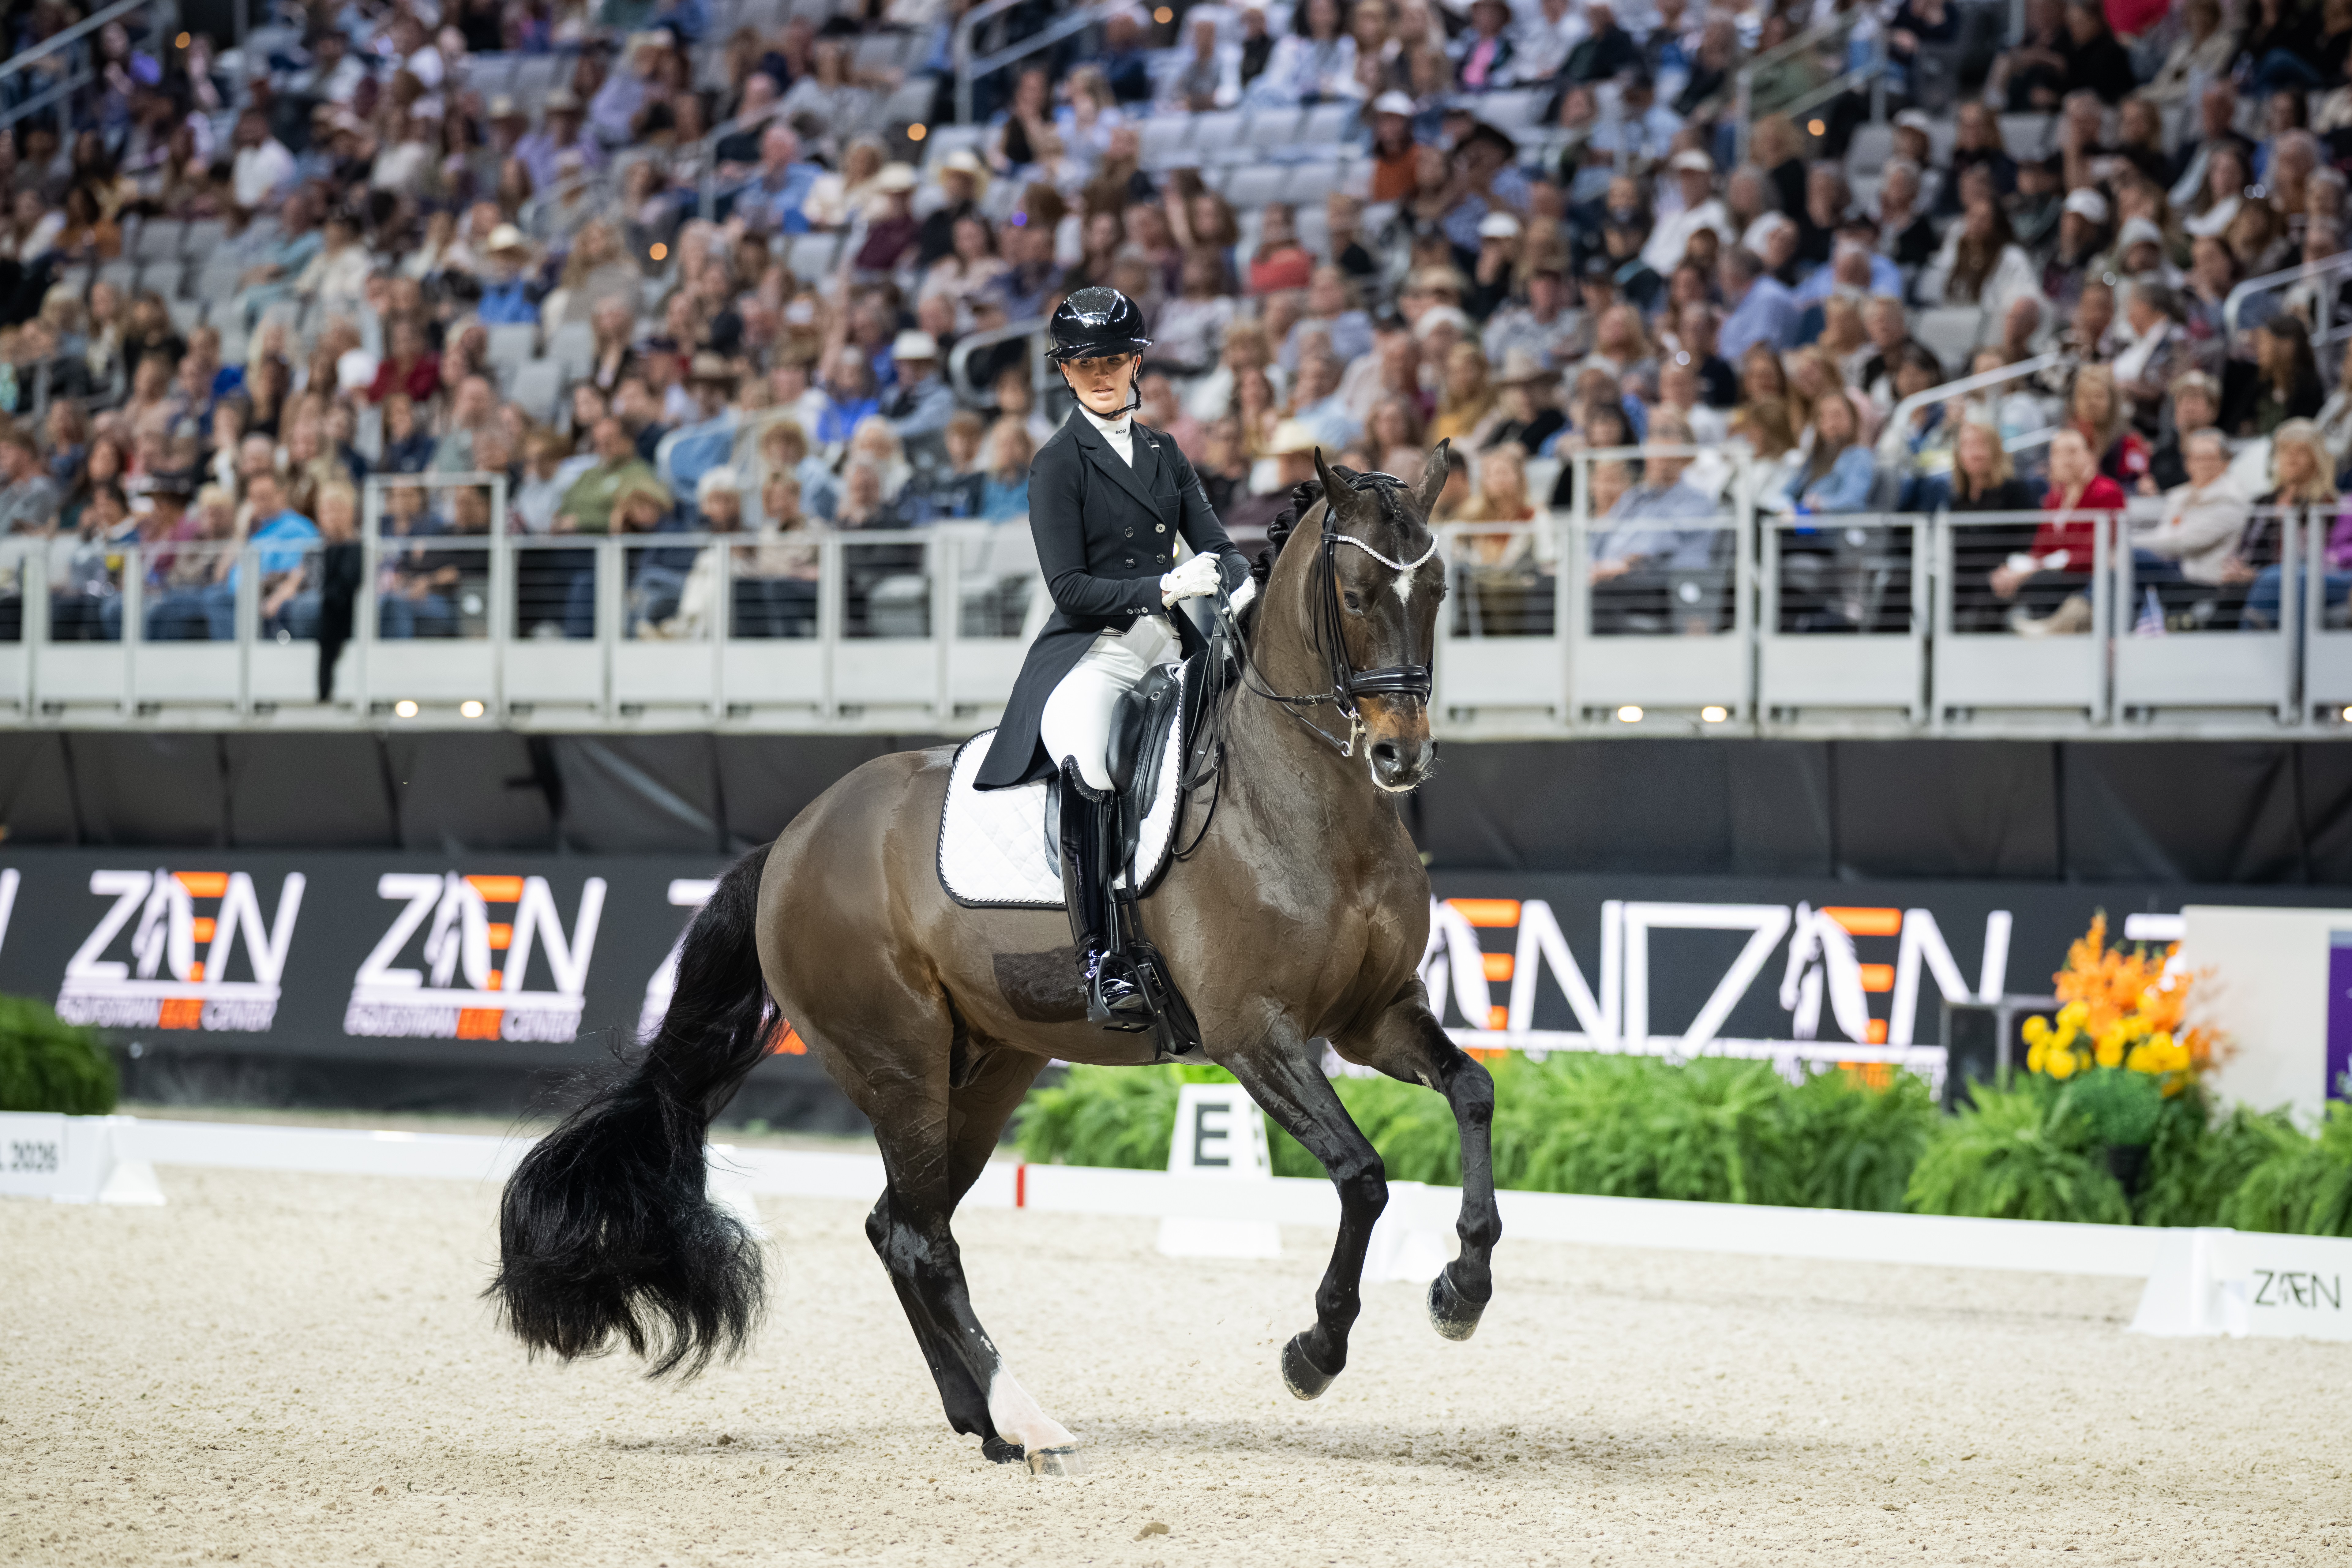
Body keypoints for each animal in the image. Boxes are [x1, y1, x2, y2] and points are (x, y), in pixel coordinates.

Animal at [488, 442, 1501, 1476]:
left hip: (986, 1068)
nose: (1401, 756)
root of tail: (793, 840)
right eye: (1354, 593)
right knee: (921, 1238)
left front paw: (1460, 1290)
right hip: (897, 1064)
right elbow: (1362, 1174)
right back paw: (1025, 1419)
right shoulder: (1253, 1034)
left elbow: (1471, 1091)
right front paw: (1315, 1350)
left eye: (1437, 590)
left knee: (901, 1224)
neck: (1306, 799)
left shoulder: (1373, 1015)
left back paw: (981, 1419)